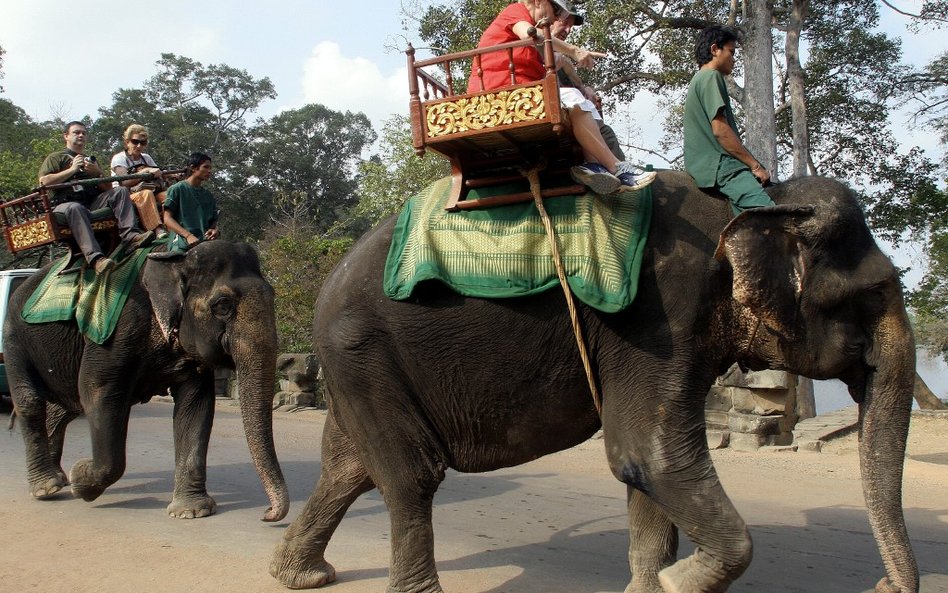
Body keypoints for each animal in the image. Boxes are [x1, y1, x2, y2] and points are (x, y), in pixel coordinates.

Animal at [2, 238, 288, 520]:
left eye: (273, 296)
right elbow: (97, 391)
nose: (267, 513)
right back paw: (47, 487)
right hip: (13, 338)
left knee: (64, 407)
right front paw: (80, 480)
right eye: (222, 305)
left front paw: (191, 511)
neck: (177, 260)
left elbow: (196, 404)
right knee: (31, 402)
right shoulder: (115, 332)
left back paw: (58, 479)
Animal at [268, 171, 920, 592]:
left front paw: (654, 585)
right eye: (873, 295)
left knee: (350, 467)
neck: (763, 199)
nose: (882, 587)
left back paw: (301, 576)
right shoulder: (659, 317)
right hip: (363, 351)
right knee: (411, 475)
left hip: (361, 364)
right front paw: (679, 581)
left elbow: (647, 470)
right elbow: (648, 455)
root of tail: (327, 283)